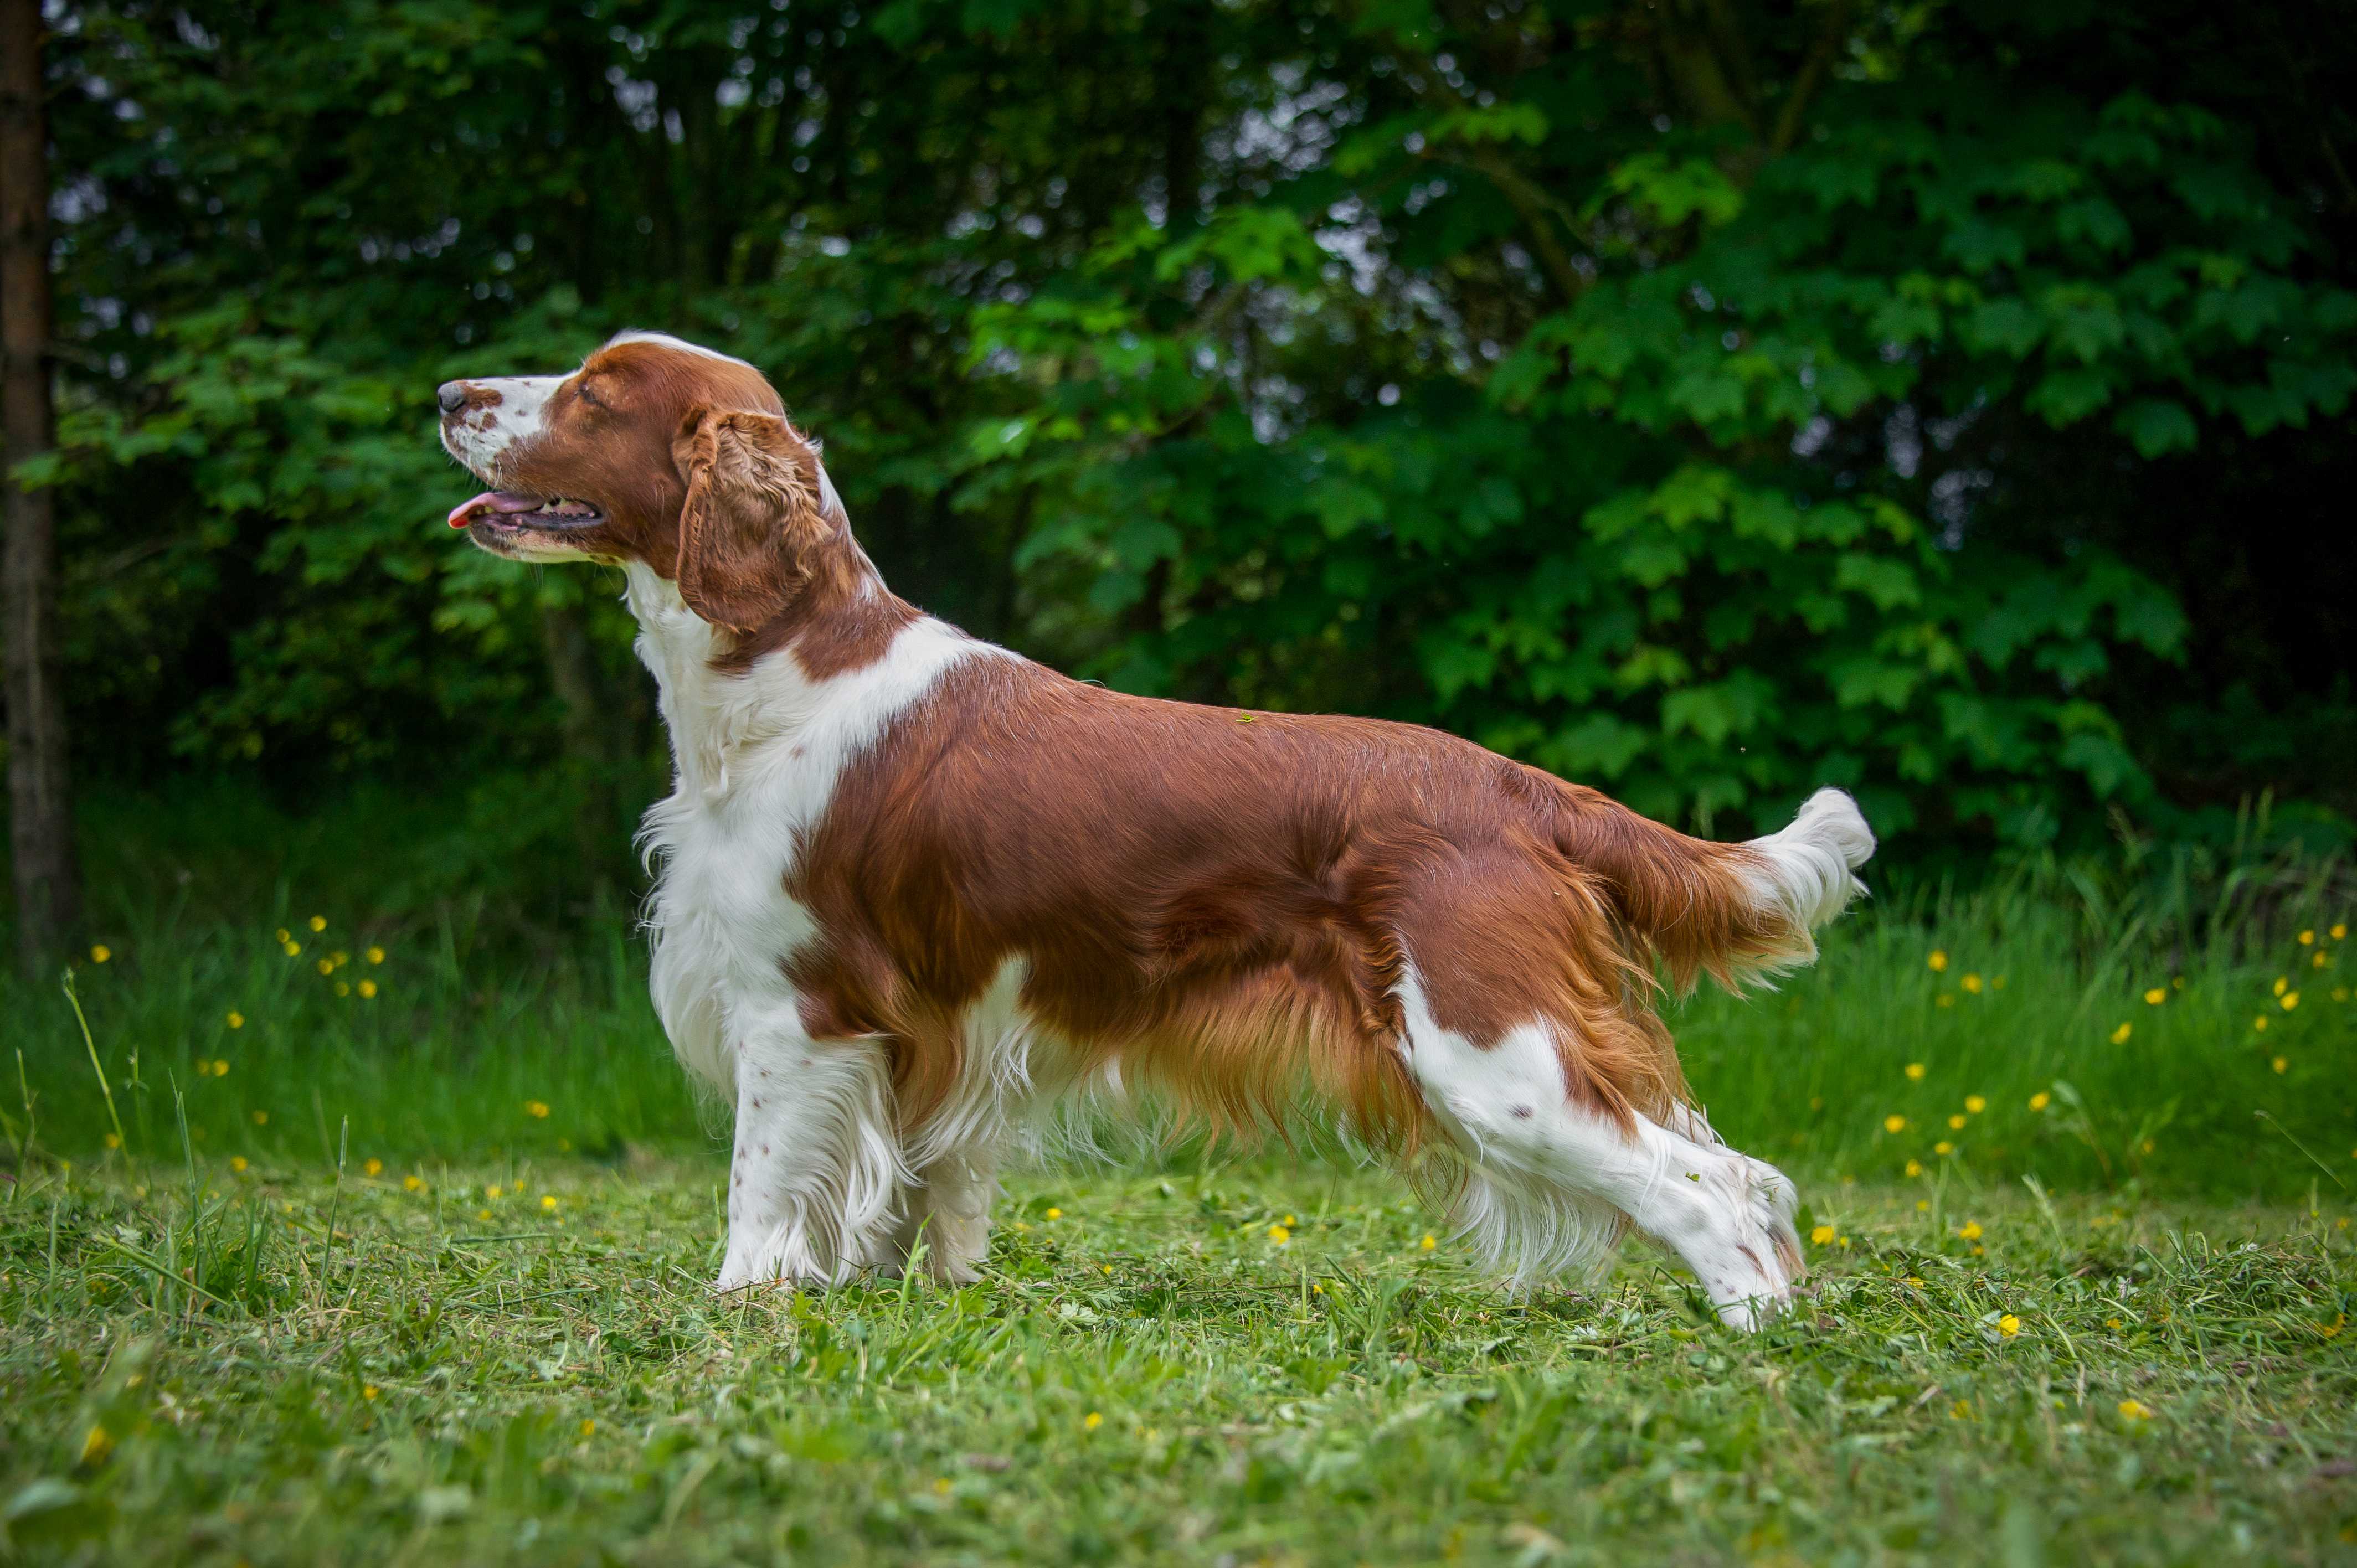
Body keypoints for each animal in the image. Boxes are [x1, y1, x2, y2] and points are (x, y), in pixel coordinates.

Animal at [438, 327, 1876, 1320]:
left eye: (595, 392)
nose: (449, 396)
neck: (785, 669)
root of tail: (1526, 788)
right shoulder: (919, 1032)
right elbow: (906, 1187)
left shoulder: (797, 1008)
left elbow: (759, 1186)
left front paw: (744, 1307)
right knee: (1739, 1175)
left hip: (1492, 1050)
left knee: (1710, 1187)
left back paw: (1751, 1332)